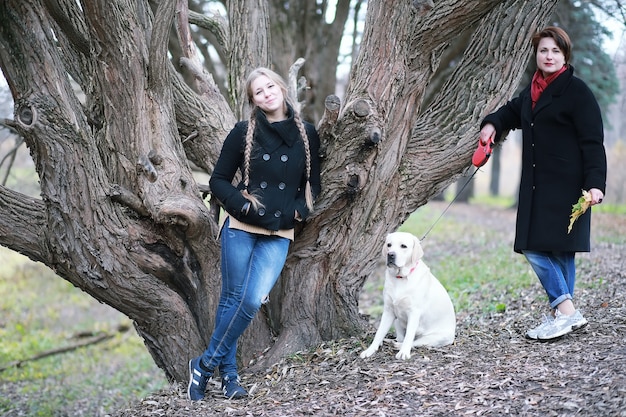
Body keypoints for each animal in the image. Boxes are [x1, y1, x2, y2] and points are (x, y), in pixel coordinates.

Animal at [360, 229, 454, 360]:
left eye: (403, 246)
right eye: (389, 245)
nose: (390, 255)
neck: (401, 277)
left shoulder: (414, 312)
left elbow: (409, 335)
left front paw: (404, 352)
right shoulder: (388, 310)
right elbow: (379, 333)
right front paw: (370, 350)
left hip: (432, 338)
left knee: (414, 342)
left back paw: (399, 346)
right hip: (397, 321)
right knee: (400, 338)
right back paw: (391, 342)